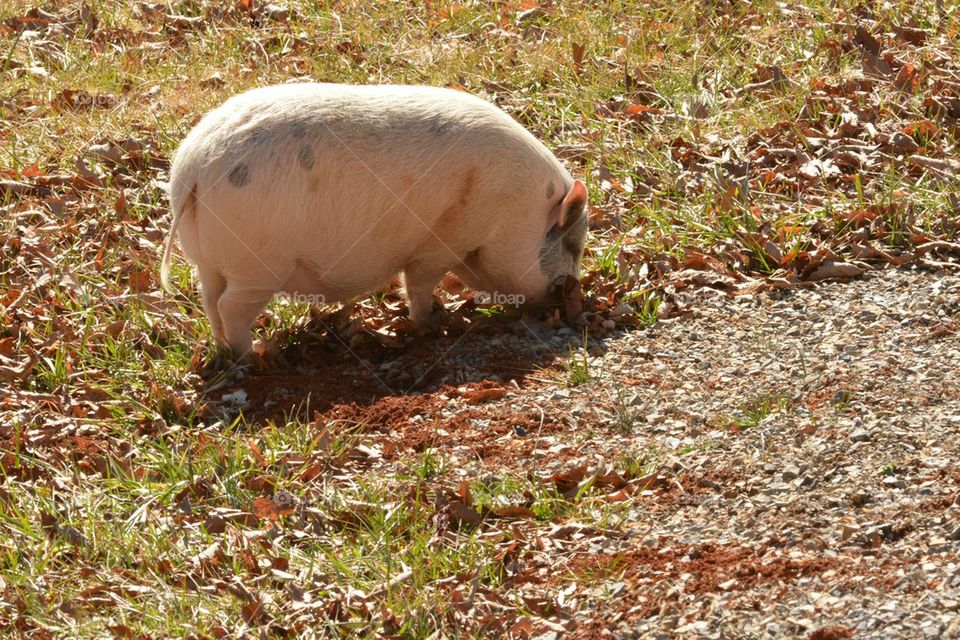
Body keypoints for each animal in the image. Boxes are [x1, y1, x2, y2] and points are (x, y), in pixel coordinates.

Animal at [161, 83, 588, 356]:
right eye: (574, 245)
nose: (574, 298)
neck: (516, 210)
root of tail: (193, 167)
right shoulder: (443, 241)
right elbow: (417, 284)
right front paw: (432, 324)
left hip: (208, 261)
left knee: (209, 300)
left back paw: (225, 351)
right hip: (258, 265)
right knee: (230, 306)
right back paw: (256, 355)